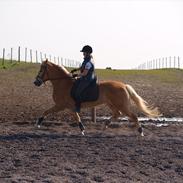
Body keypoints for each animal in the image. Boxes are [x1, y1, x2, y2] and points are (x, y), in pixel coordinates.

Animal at [33, 60, 161, 136]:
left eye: (41, 69)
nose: (36, 82)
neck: (63, 83)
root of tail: (124, 85)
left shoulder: (61, 105)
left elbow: (46, 111)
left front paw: (38, 124)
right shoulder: (70, 107)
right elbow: (77, 117)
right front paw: (82, 130)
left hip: (121, 105)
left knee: (132, 116)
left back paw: (140, 132)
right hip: (110, 103)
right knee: (117, 114)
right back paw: (104, 126)